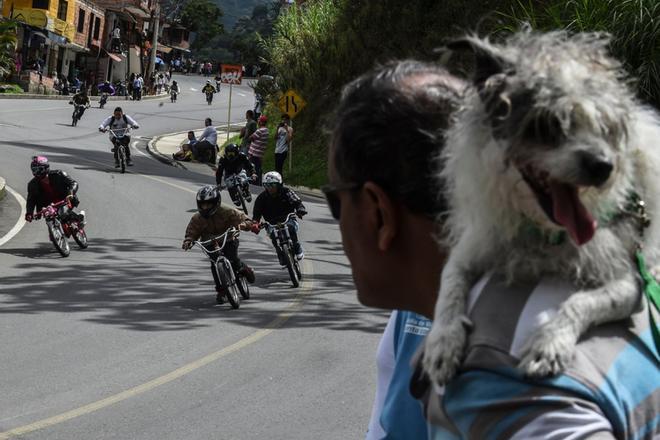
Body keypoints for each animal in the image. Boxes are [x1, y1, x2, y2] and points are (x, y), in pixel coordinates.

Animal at [422, 30, 660, 384]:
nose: (605, 167)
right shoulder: (471, 250)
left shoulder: (629, 283)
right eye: (548, 124)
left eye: (604, 127)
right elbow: (448, 286)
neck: (542, 230)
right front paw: (443, 340)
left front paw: (549, 342)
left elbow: (583, 301)